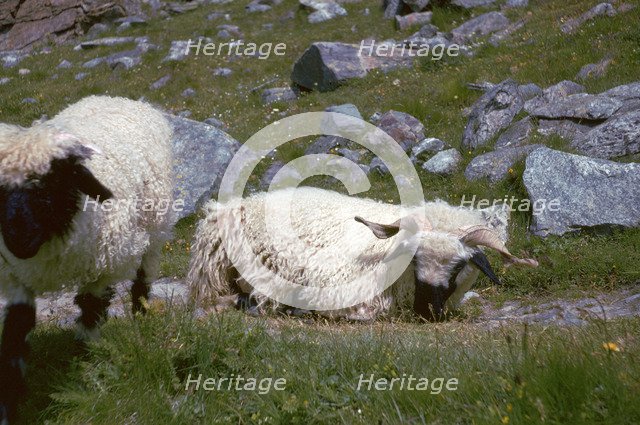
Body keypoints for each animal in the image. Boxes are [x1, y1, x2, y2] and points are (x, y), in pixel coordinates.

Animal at [0, 96, 174, 424]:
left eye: (52, 182)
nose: (17, 240)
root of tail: (116, 97)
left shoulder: (102, 268)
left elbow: (91, 311)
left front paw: (86, 362)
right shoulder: (16, 278)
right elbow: (14, 337)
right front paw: (8, 406)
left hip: (155, 222)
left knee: (145, 270)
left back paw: (141, 313)